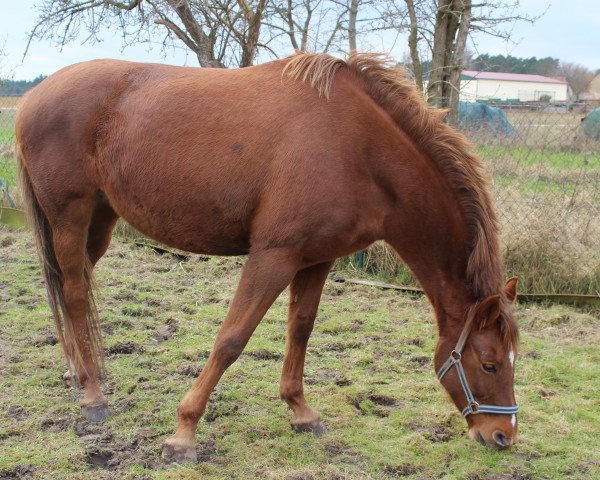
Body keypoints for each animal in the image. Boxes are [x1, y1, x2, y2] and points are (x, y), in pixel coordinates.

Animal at [15, 52, 520, 462]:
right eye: (489, 363)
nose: (503, 435)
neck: (358, 149)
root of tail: (33, 97)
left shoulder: (317, 260)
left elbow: (301, 329)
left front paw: (301, 411)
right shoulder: (273, 256)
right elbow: (231, 339)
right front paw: (183, 433)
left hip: (100, 221)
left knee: (71, 289)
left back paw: (77, 373)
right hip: (69, 216)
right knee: (74, 293)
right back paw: (93, 395)